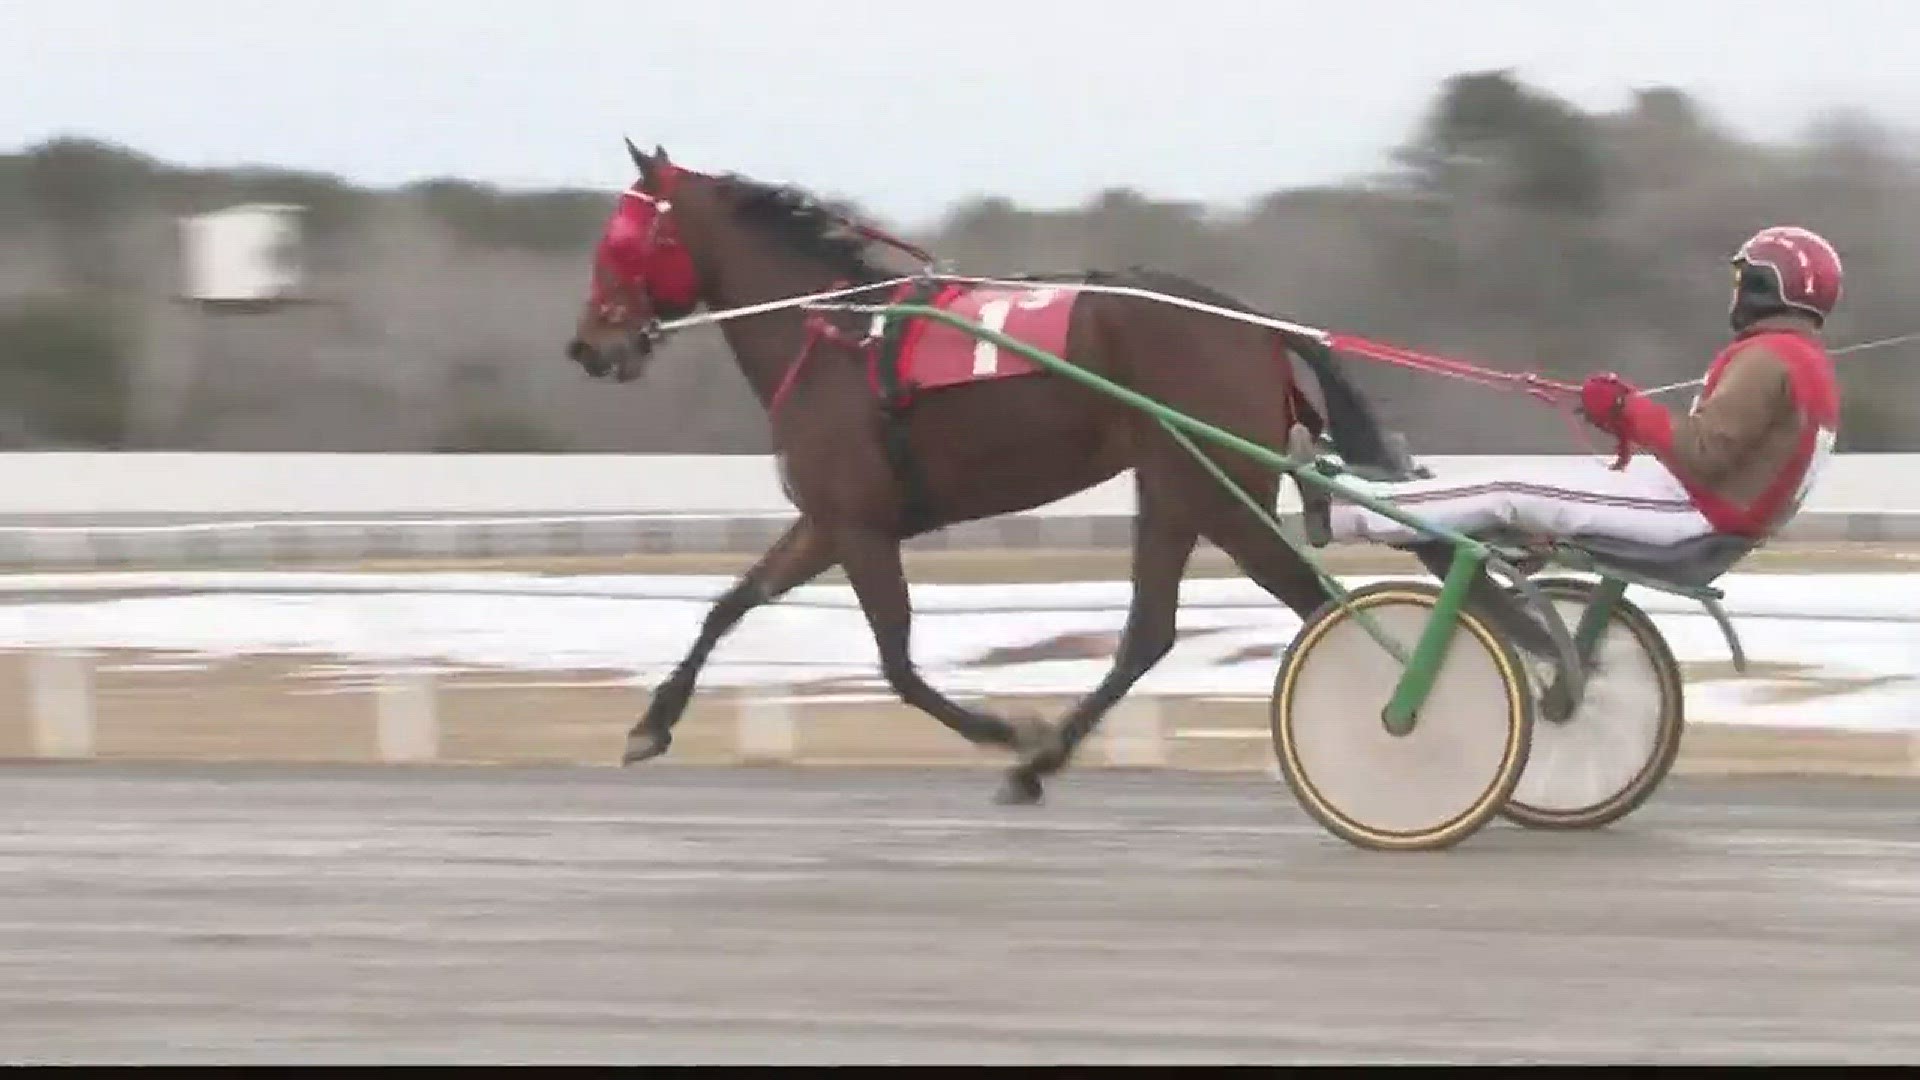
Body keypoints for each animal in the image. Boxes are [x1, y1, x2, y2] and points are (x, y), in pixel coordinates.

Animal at [560, 141, 1551, 799]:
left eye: (619, 241)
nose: (587, 346)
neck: (838, 336)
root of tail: (1255, 324)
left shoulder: (861, 525)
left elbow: (898, 665)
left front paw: (1005, 728)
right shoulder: (825, 522)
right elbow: (731, 603)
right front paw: (651, 723)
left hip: (1209, 487)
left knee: (1308, 607)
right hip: (1178, 487)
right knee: (1160, 630)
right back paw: (1049, 759)